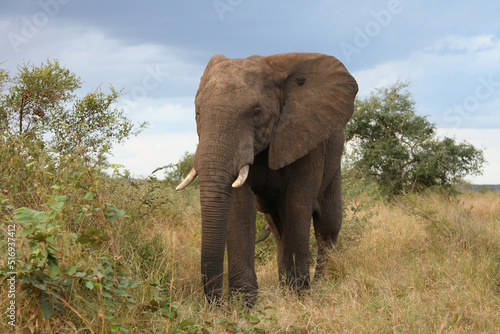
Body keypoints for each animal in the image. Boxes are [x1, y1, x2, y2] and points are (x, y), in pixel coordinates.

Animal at [178, 52, 358, 306]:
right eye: (198, 114)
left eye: (256, 113)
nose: (217, 303)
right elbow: (240, 209)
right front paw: (244, 304)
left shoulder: (305, 137)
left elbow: (296, 205)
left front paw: (299, 297)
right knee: (277, 225)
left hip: (334, 163)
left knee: (328, 225)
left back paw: (323, 283)